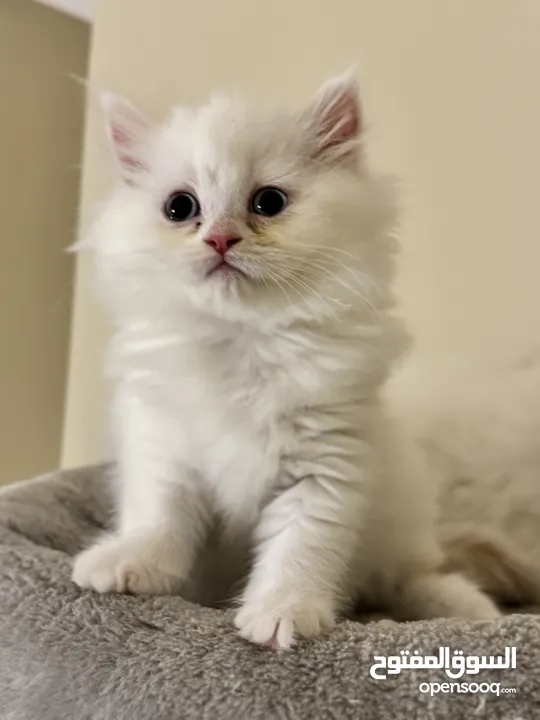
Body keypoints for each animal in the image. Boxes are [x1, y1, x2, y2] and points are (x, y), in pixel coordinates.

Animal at [71, 73, 498, 648]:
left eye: (268, 203)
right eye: (180, 208)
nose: (220, 238)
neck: (243, 340)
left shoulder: (327, 462)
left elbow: (300, 549)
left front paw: (283, 615)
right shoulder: (164, 450)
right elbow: (157, 519)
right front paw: (126, 564)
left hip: (400, 521)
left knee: (412, 577)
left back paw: (472, 610)